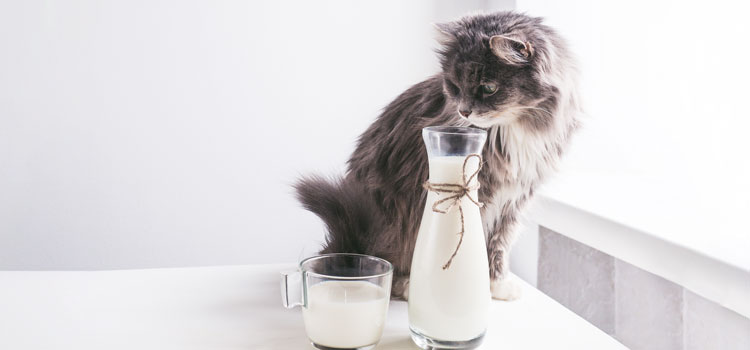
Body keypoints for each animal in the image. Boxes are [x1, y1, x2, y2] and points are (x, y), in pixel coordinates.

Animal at [294, 11, 580, 300]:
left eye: (488, 88)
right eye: (454, 86)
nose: (464, 111)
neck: (511, 129)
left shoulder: (515, 198)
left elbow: (498, 243)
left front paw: (497, 284)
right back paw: (407, 284)